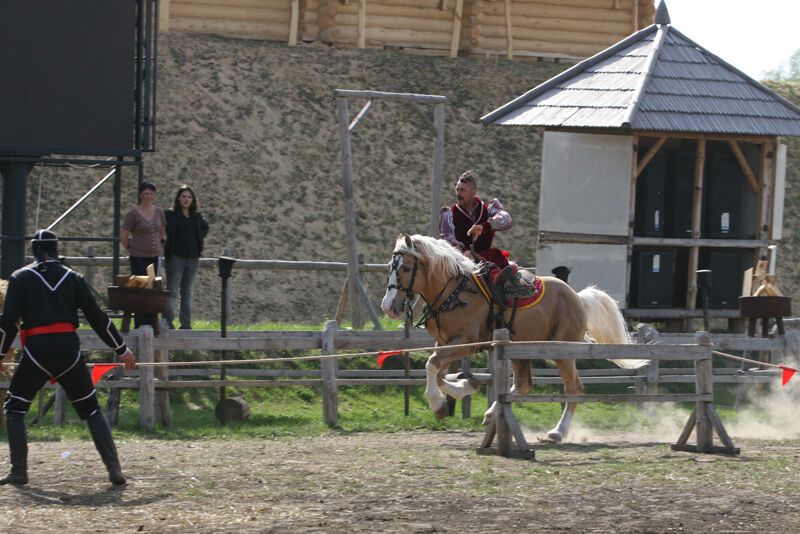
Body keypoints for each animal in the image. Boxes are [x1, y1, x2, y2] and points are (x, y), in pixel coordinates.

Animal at [378, 234, 648, 444]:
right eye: (390, 265)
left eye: (405, 268)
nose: (388, 307)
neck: (453, 292)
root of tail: (578, 297)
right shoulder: (445, 343)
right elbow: (438, 372)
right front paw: (464, 386)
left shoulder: (465, 342)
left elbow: (431, 365)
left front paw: (438, 404)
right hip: (522, 350)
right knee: (523, 384)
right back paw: (492, 413)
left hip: (561, 352)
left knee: (573, 389)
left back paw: (557, 433)